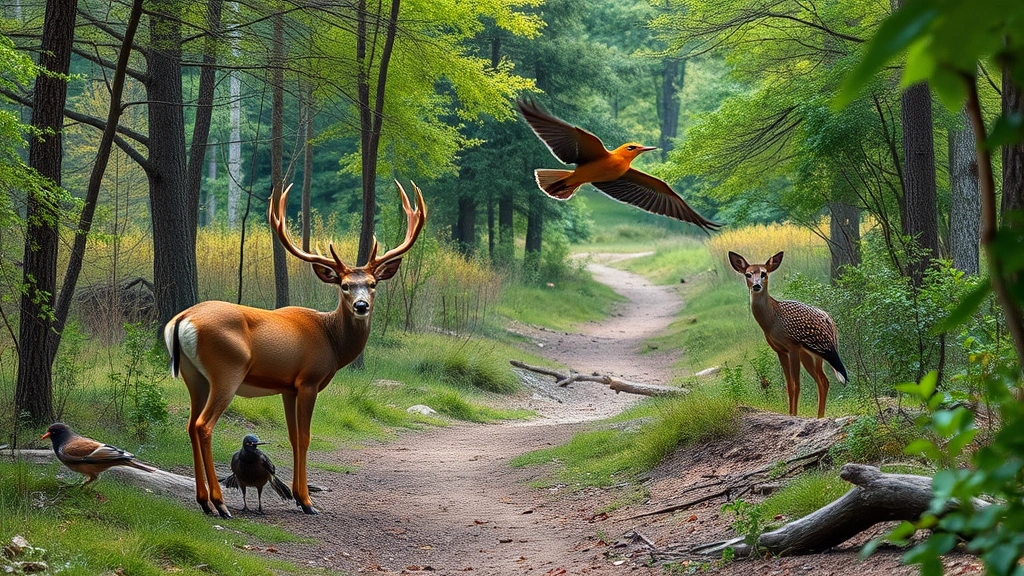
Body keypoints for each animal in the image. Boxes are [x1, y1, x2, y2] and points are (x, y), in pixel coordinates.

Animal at [164, 181, 427, 518]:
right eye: (344, 285)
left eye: (372, 284)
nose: (361, 306)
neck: (331, 340)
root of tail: (181, 319)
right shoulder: (308, 380)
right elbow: (304, 437)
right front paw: (307, 501)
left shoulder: (287, 387)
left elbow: (291, 437)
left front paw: (300, 496)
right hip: (227, 371)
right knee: (203, 425)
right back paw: (220, 504)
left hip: (194, 376)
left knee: (189, 424)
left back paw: (204, 502)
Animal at [728, 251, 848, 418]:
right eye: (748, 274)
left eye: (764, 273)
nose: (757, 285)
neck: (772, 320)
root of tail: (831, 323)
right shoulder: (780, 350)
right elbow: (789, 385)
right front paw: (790, 414)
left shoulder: (793, 347)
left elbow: (796, 385)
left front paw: (794, 415)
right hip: (811, 355)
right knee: (823, 380)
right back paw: (819, 416)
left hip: (823, 350)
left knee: (825, 379)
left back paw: (820, 416)